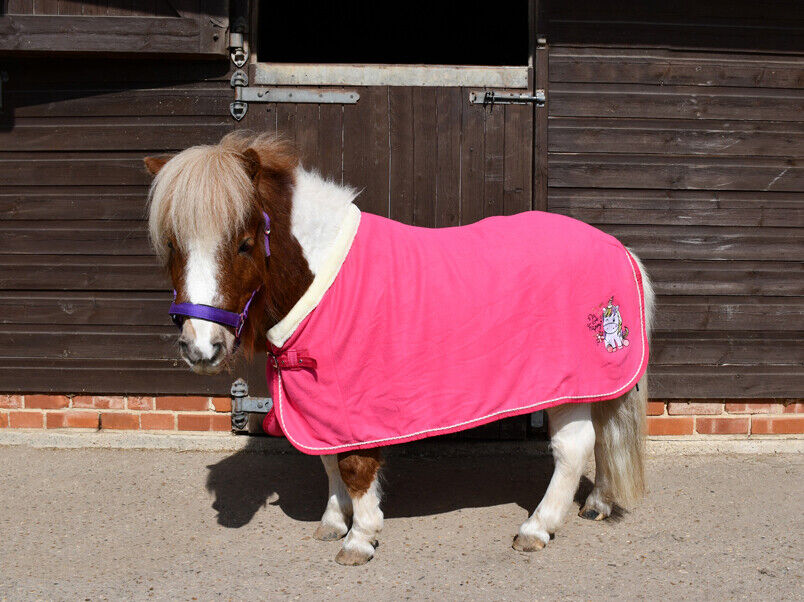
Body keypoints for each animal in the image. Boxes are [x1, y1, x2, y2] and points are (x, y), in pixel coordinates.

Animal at [144, 132, 654, 566]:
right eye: (171, 243)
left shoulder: (354, 400)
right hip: (595, 381)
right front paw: (334, 522)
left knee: (573, 447)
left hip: (568, 384)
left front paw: (360, 537)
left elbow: (354, 464)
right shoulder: (320, 402)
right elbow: (327, 459)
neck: (323, 278)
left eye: (246, 243)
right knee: (604, 435)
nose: (201, 347)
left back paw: (537, 528)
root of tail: (618, 248)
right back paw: (597, 503)